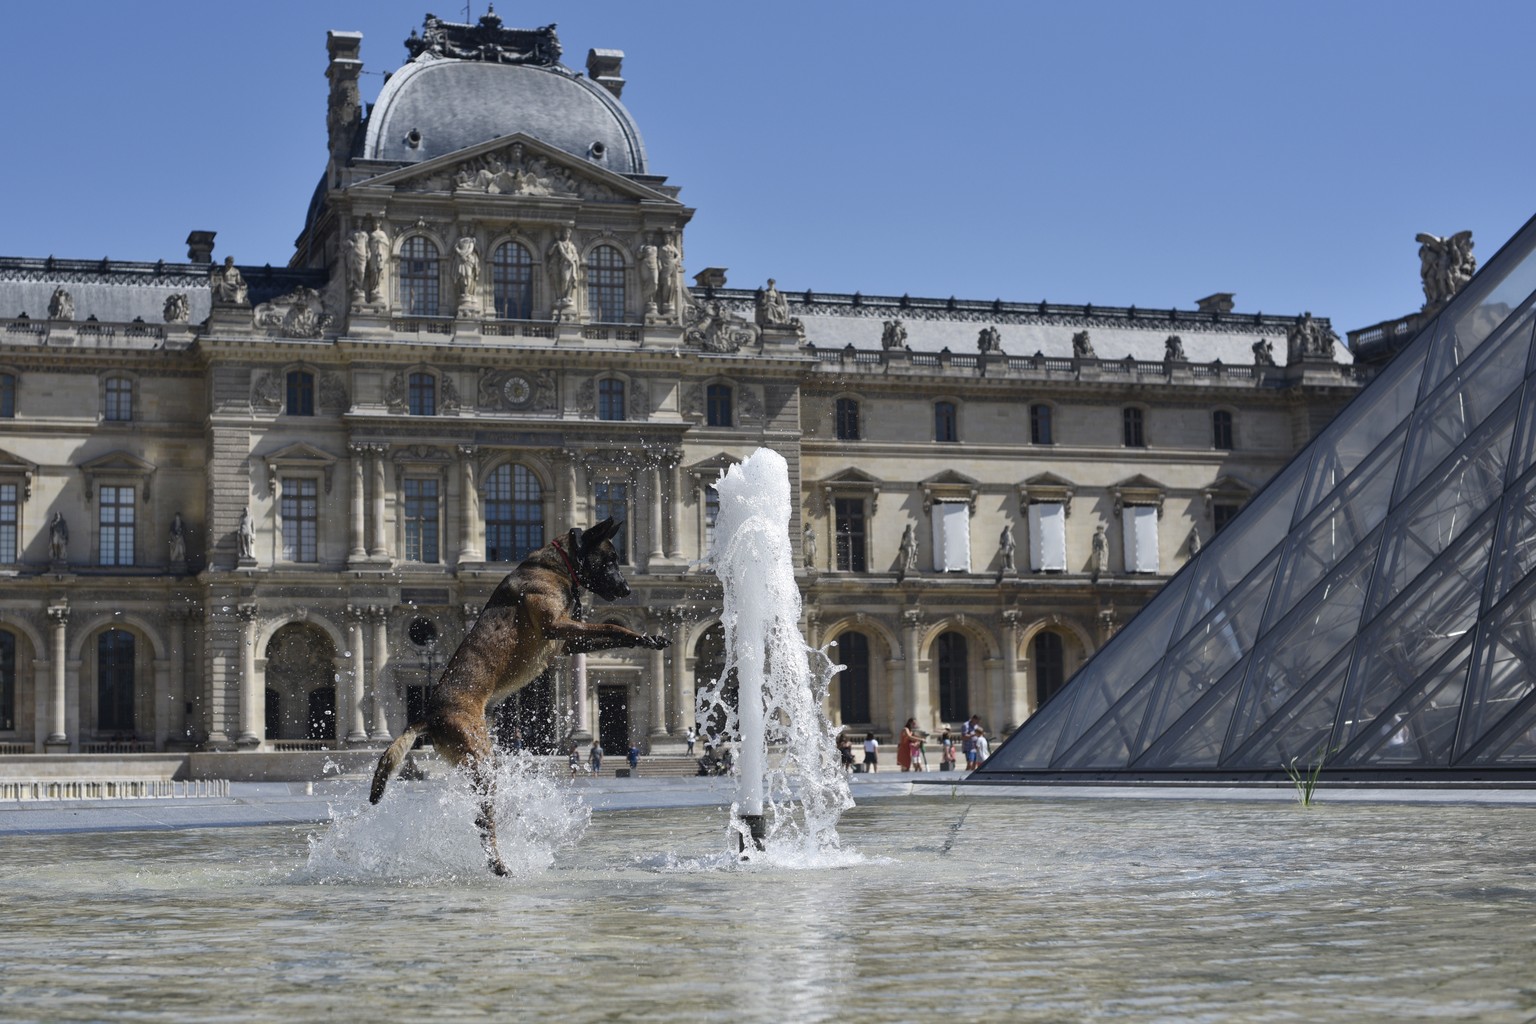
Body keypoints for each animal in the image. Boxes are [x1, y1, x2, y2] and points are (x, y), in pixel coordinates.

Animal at [371, 515, 672, 878]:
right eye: (610, 559)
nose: (627, 590)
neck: (556, 566)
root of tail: (428, 715)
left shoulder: (568, 642)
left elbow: (618, 632)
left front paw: (649, 638)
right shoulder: (557, 626)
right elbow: (613, 628)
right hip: (483, 760)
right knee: (483, 821)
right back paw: (500, 865)